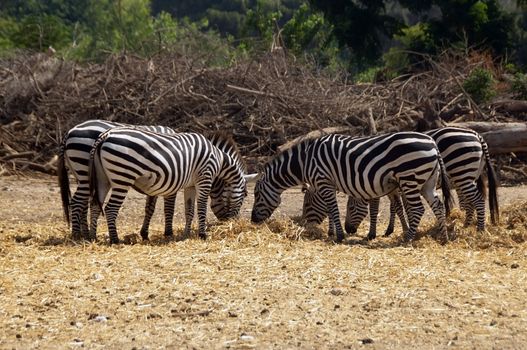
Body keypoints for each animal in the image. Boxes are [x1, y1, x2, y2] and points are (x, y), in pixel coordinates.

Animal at [253, 132, 454, 243]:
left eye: (257, 195)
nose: (253, 220)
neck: (305, 161)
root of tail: (433, 143)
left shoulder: (323, 180)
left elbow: (333, 208)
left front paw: (339, 235)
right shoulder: (328, 183)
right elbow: (331, 208)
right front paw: (333, 232)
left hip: (410, 178)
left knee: (418, 209)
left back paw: (408, 238)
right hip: (427, 182)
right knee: (438, 205)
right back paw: (443, 237)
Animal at [302, 127, 500, 239]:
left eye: (307, 205)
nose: (349, 229)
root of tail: (476, 135)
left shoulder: (383, 185)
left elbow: (389, 207)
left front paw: (380, 232)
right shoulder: (391, 186)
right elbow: (397, 207)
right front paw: (397, 229)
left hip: (461, 173)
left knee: (475, 199)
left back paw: (478, 229)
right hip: (465, 175)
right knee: (468, 200)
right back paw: (465, 226)